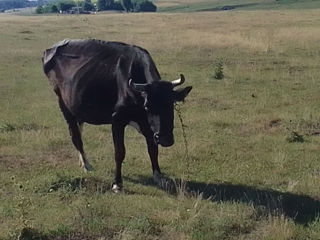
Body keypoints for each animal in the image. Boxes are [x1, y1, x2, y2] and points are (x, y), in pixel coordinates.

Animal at [42, 39, 192, 193]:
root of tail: (51, 49)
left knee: (79, 129)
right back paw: (86, 165)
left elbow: (152, 149)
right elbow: (119, 152)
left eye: (172, 104)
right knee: (75, 136)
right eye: (147, 107)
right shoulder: (117, 119)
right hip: (63, 103)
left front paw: (158, 176)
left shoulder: (148, 125)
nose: (165, 139)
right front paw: (117, 184)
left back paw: (81, 161)